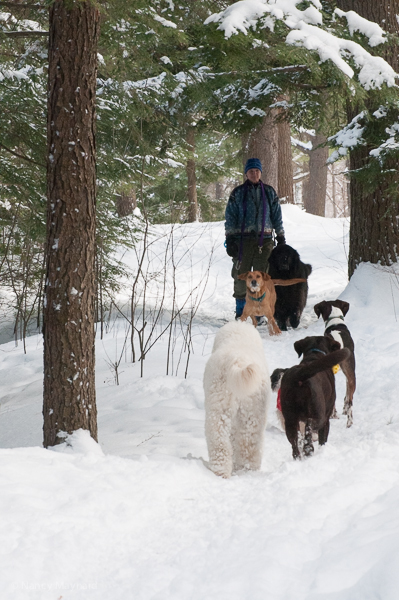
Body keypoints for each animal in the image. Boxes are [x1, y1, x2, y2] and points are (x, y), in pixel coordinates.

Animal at [203, 322, 272, 476]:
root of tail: (238, 361)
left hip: (220, 406)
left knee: (220, 439)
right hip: (251, 411)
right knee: (247, 444)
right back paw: (243, 470)